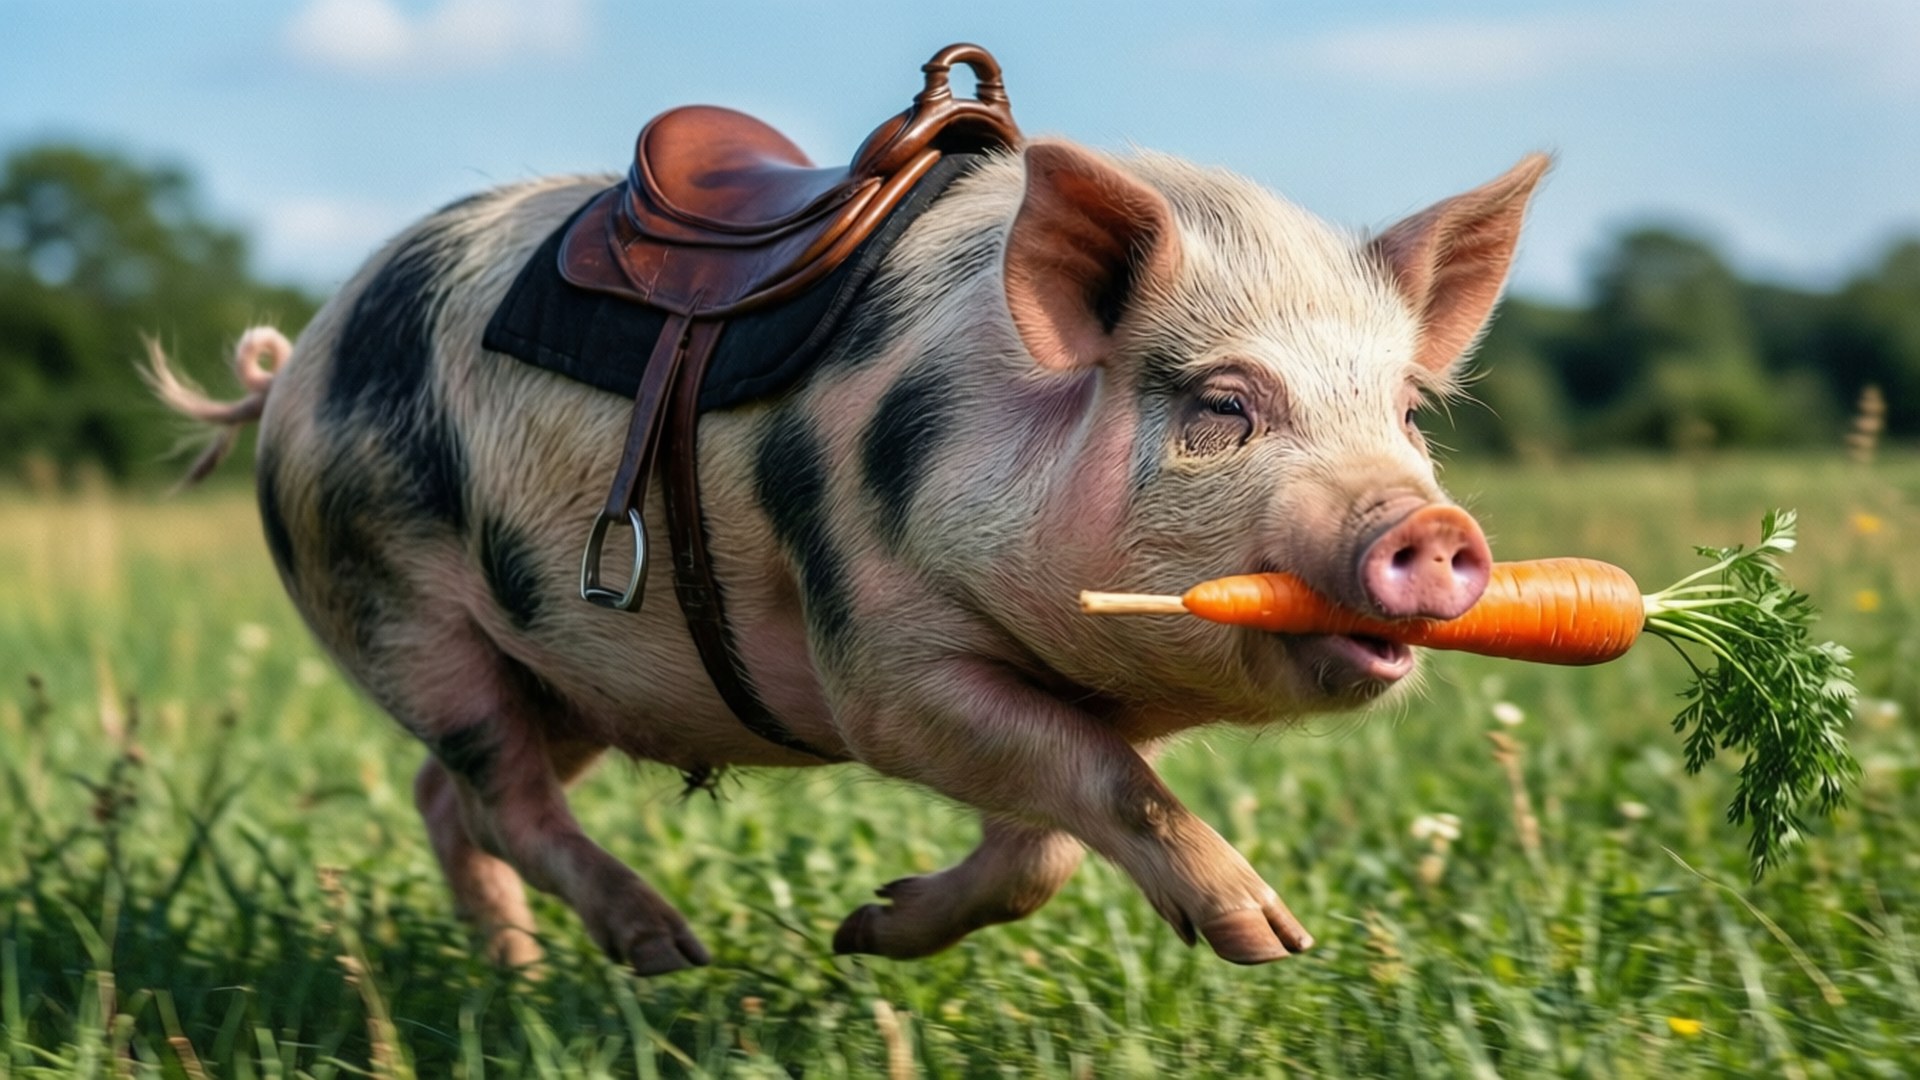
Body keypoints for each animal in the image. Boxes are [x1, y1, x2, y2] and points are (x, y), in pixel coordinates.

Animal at [149, 139, 1547, 975]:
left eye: (1407, 414)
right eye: (1223, 405)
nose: (1432, 527)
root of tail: (292, 369)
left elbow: (1051, 837)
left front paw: (863, 931)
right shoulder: (878, 660)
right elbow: (1091, 790)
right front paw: (1271, 942)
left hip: (570, 666)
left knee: (451, 798)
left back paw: (526, 973)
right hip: (395, 607)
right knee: (495, 790)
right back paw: (668, 951)